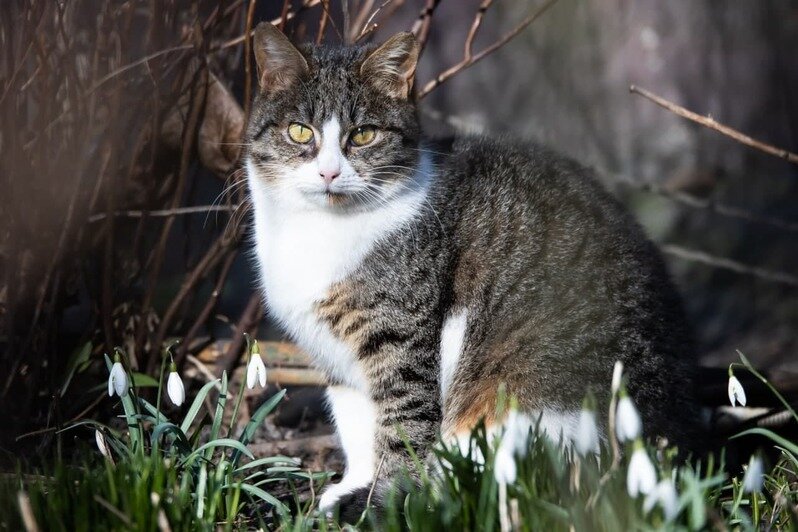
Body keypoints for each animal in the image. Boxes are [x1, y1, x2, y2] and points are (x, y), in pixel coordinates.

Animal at [247, 21, 704, 524]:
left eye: (363, 135)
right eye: (299, 131)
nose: (329, 173)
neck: (320, 230)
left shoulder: (403, 339)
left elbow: (403, 427)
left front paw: (382, 499)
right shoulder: (338, 362)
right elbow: (357, 428)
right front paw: (354, 486)